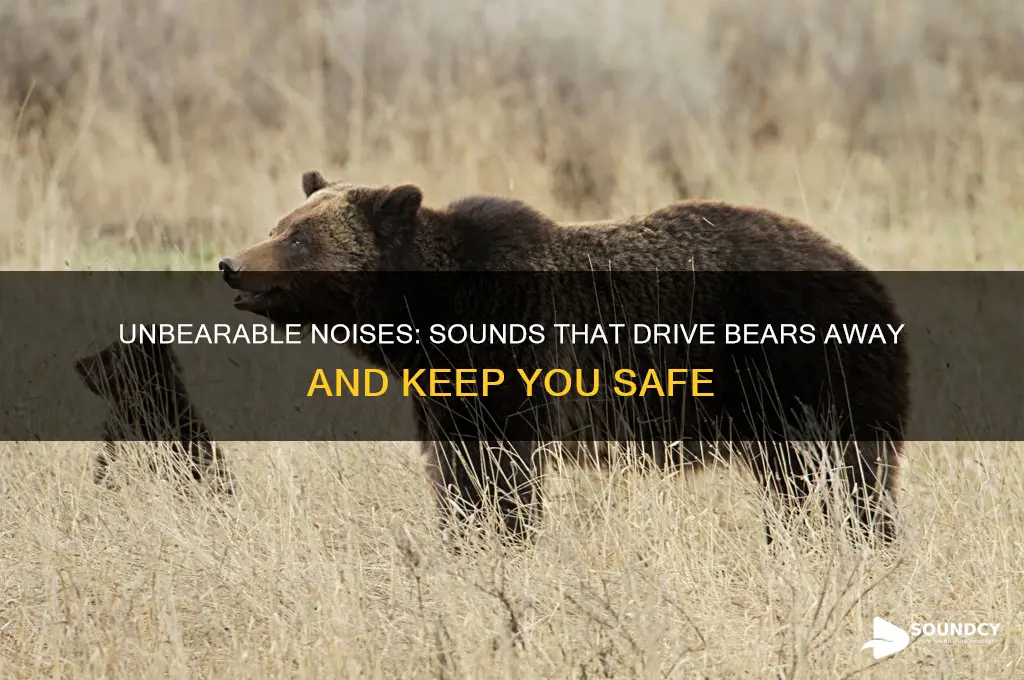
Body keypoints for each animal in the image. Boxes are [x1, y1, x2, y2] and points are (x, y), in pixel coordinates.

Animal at [218, 171, 911, 547]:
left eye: (299, 238)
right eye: (280, 224)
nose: (231, 264)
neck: (427, 311)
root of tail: (867, 275)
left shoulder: (511, 354)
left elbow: (503, 473)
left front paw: (506, 537)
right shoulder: (444, 392)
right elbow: (456, 471)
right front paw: (463, 537)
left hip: (804, 373)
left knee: (844, 476)